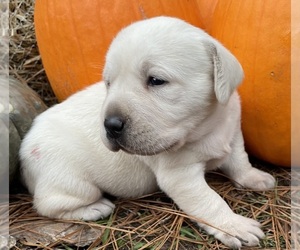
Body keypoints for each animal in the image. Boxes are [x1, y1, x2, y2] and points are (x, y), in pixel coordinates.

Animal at [19, 16, 276, 248]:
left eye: (156, 80)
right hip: (72, 183)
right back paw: (94, 208)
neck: (204, 128)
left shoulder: (233, 137)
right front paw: (233, 225)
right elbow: (209, 201)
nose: (110, 125)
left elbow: (240, 161)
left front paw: (255, 177)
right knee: (49, 205)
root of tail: (24, 150)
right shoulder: (180, 176)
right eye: (109, 83)